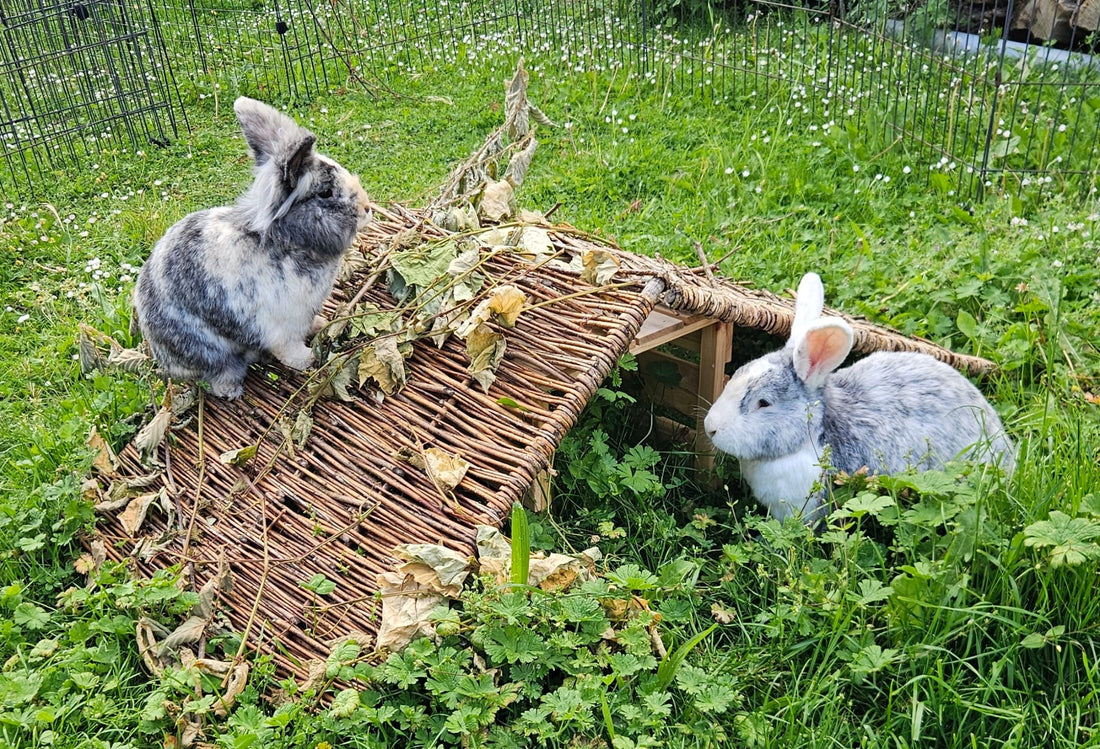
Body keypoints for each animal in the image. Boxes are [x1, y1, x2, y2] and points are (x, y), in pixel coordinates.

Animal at [133, 96, 371, 399]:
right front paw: (308, 360)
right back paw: (230, 389)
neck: (287, 242)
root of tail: (160, 354)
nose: (367, 208)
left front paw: (320, 325)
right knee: (219, 372)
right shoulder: (282, 328)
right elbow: (290, 353)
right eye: (326, 193)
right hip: (210, 352)